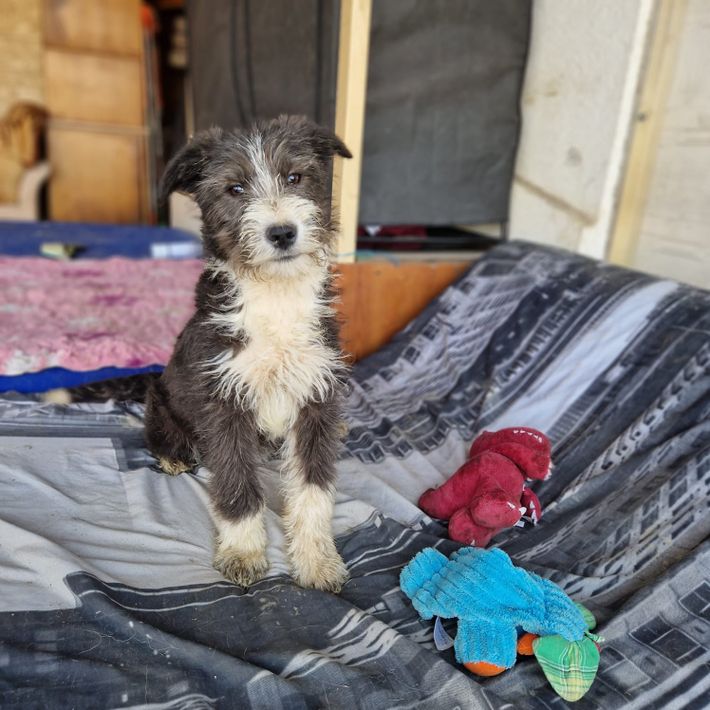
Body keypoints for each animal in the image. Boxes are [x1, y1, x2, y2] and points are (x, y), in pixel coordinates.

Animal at [61, 115, 353, 592]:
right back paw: (174, 455)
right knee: (162, 433)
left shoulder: (317, 396)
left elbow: (314, 487)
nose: (282, 232)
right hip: (162, 401)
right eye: (234, 188)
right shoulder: (223, 404)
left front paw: (316, 559)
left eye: (295, 177)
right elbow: (237, 485)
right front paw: (243, 552)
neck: (274, 294)